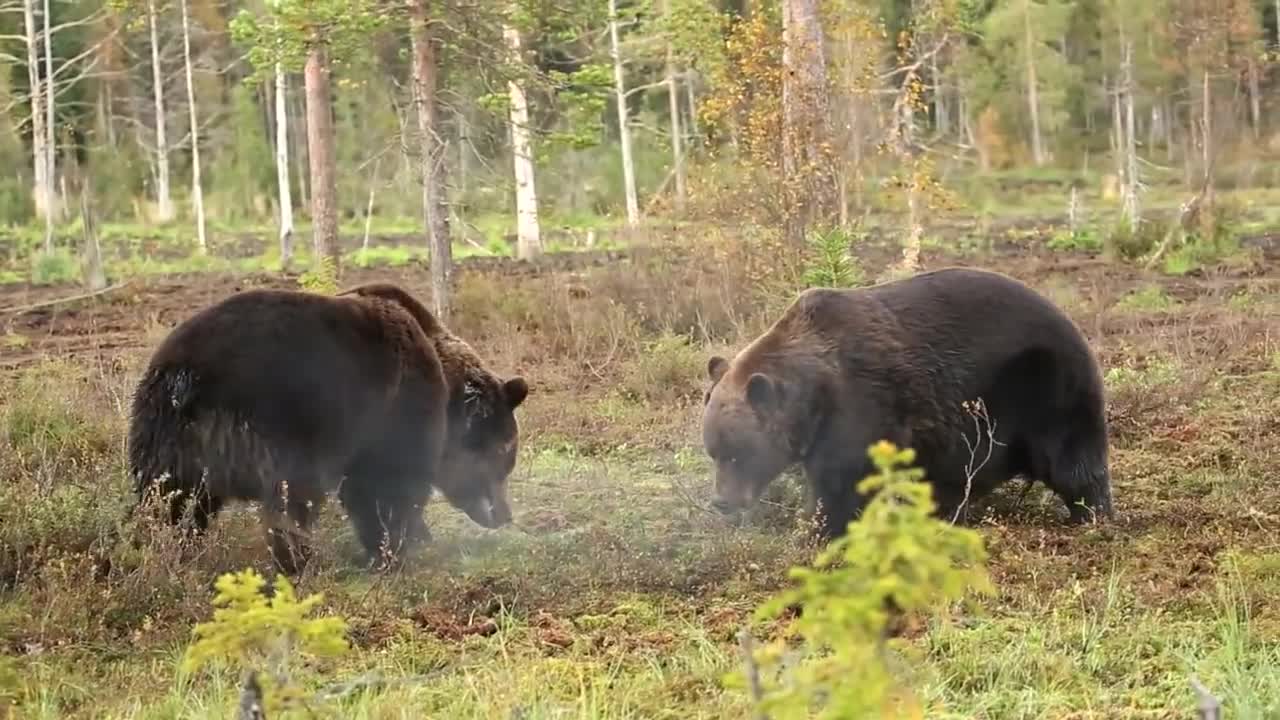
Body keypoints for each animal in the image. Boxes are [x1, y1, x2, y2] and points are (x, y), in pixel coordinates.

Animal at [127, 280, 527, 571]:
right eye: (505, 450)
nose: (503, 515)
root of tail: (190, 378)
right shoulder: (393, 411)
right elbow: (385, 486)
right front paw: (396, 547)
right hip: (284, 422)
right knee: (291, 501)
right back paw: (295, 561)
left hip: (165, 435)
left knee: (168, 502)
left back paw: (164, 552)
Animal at [706, 266, 1116, 540]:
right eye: (713, 451)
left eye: (738, 453)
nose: (722, 501)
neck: (815, 395)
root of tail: (1070, 321)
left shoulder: (859, 407)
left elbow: (843, 478)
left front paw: (818, 528)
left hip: (1044, 385)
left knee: (1070, 458)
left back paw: (1090, 514)